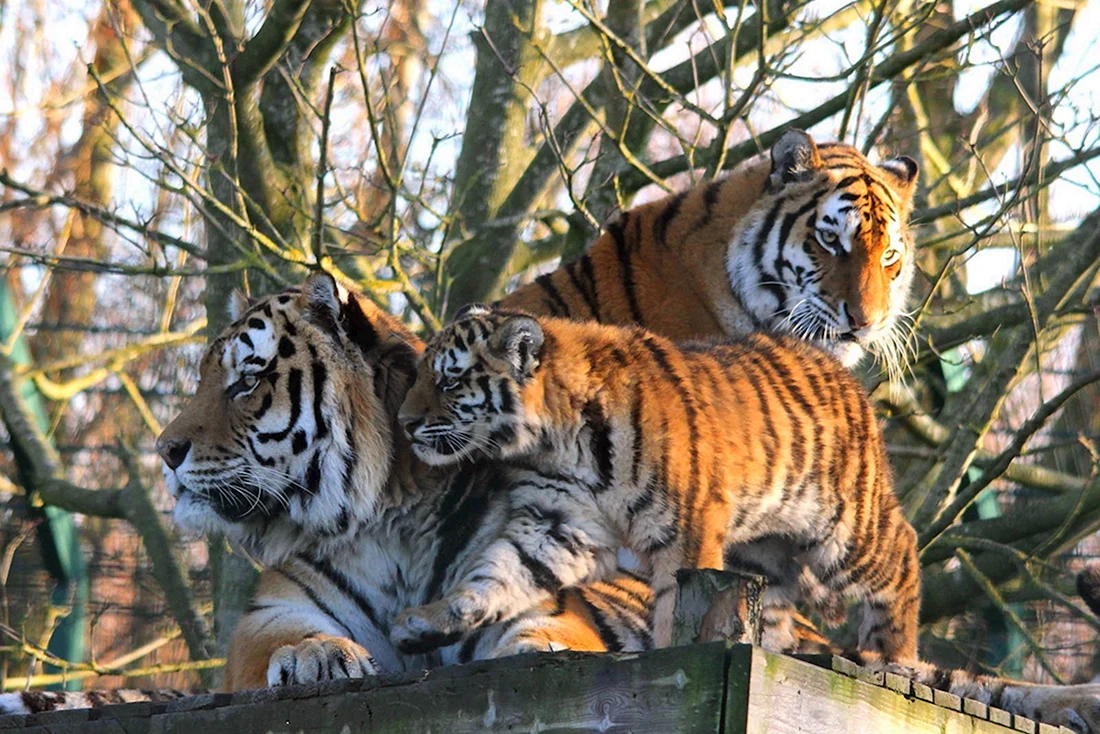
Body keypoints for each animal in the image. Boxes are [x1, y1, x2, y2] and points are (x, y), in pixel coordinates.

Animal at [393, 305, 1100, 732]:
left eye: (449, 381)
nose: (403, 422)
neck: (549, 438)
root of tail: (842, 372)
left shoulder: (685, 527)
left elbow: (672, 609)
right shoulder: (555, 522)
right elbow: (494, 575)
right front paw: (425, 621)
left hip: (847, 531)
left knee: (902, 552)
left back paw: (894, 656)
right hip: (768, 556)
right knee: (781, 620)